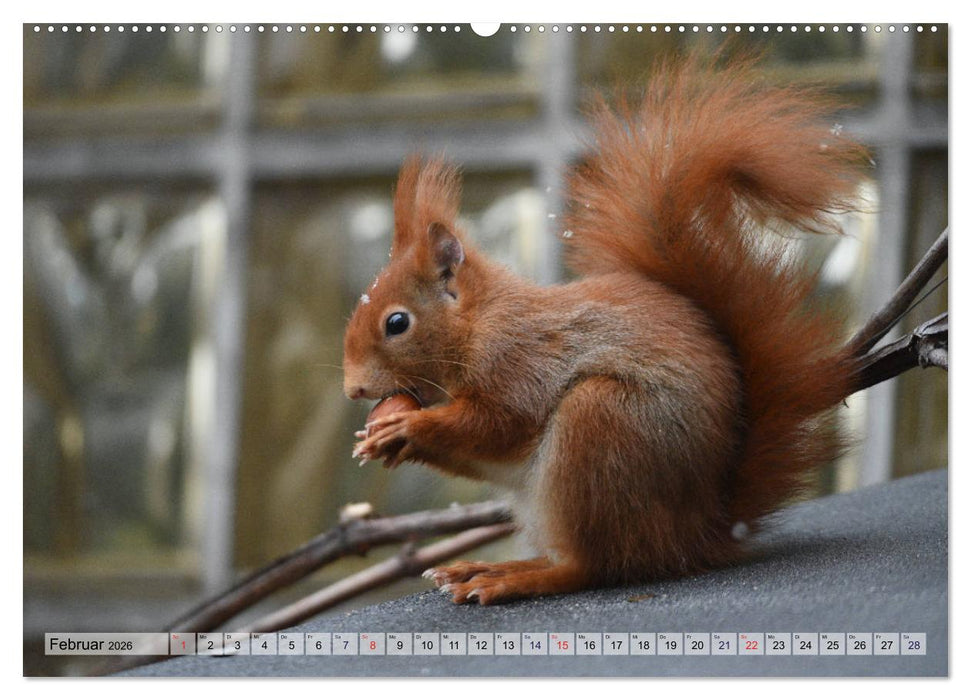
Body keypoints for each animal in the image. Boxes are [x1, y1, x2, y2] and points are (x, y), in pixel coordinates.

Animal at [342, 56, 866, 605]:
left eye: (397, 322)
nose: (353, 388)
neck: (478, 324)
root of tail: (696, 533)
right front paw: (379, 440)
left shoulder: (519, 360)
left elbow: (499, 424)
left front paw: (408, 428)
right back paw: (483, 566)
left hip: (600, 430)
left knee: (590, 566)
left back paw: (515, 577)